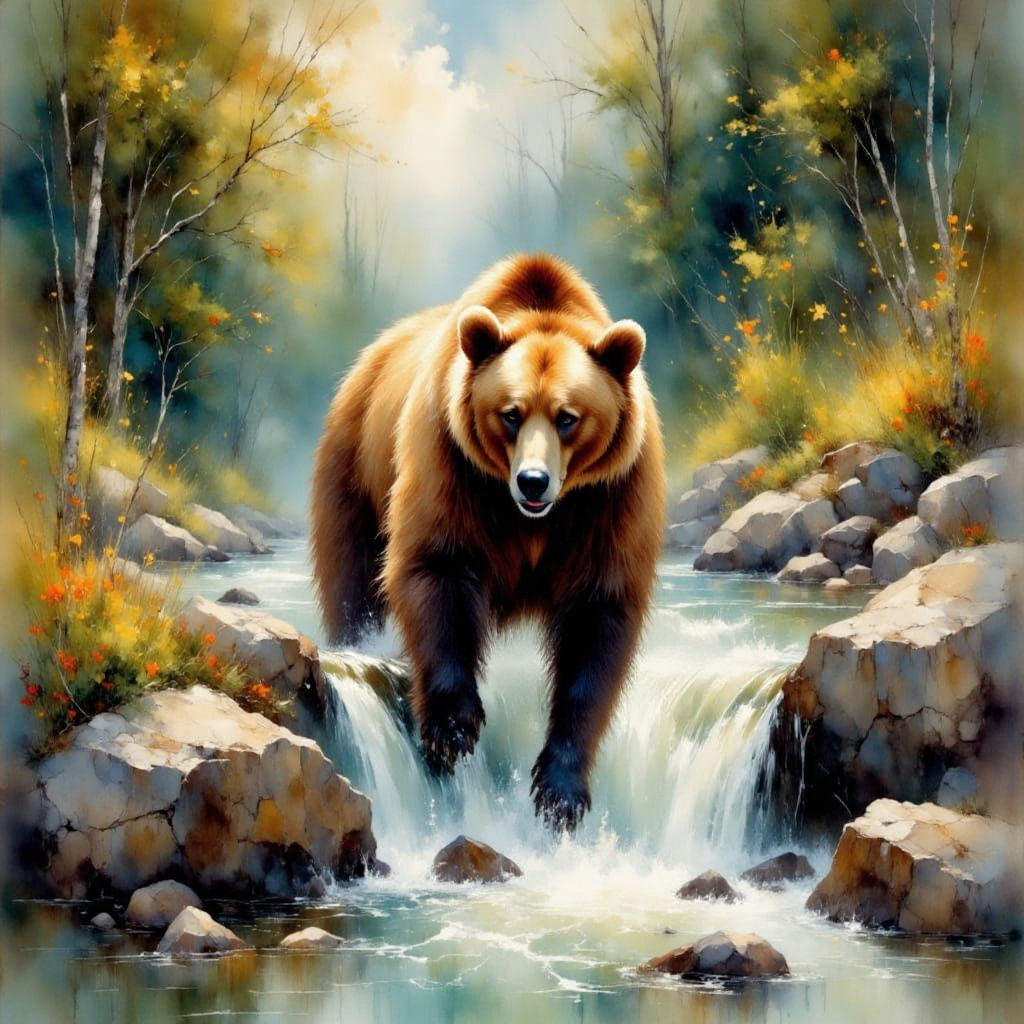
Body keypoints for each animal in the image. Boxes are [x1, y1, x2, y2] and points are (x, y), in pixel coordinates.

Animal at [310, 253, 665, 829]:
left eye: (568, 418)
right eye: (511, 413)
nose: (533, 482)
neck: (535, 520)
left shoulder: (610, 501)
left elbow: (598, 619)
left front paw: (560, 789)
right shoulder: (451, 463)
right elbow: (437, 568)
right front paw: (452, 728)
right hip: (356, 465)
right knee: (352, 575)